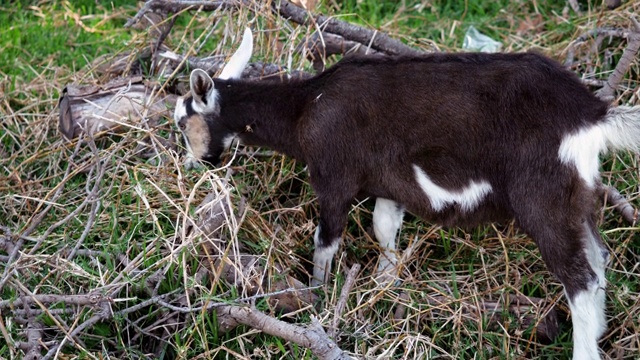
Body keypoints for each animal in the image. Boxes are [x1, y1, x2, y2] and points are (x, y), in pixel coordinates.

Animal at [174, 28, 640, 360]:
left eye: (182, 120)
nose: (190, 165)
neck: (307, 106)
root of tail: (591, 113)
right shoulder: (390, 183)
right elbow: (384, 228)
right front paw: (384, 285)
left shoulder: (334, 176)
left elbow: (326, 241)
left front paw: (319, 299)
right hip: (577, 197)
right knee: (599, 260)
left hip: (543, 198)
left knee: (581, 278)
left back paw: (584, 351)